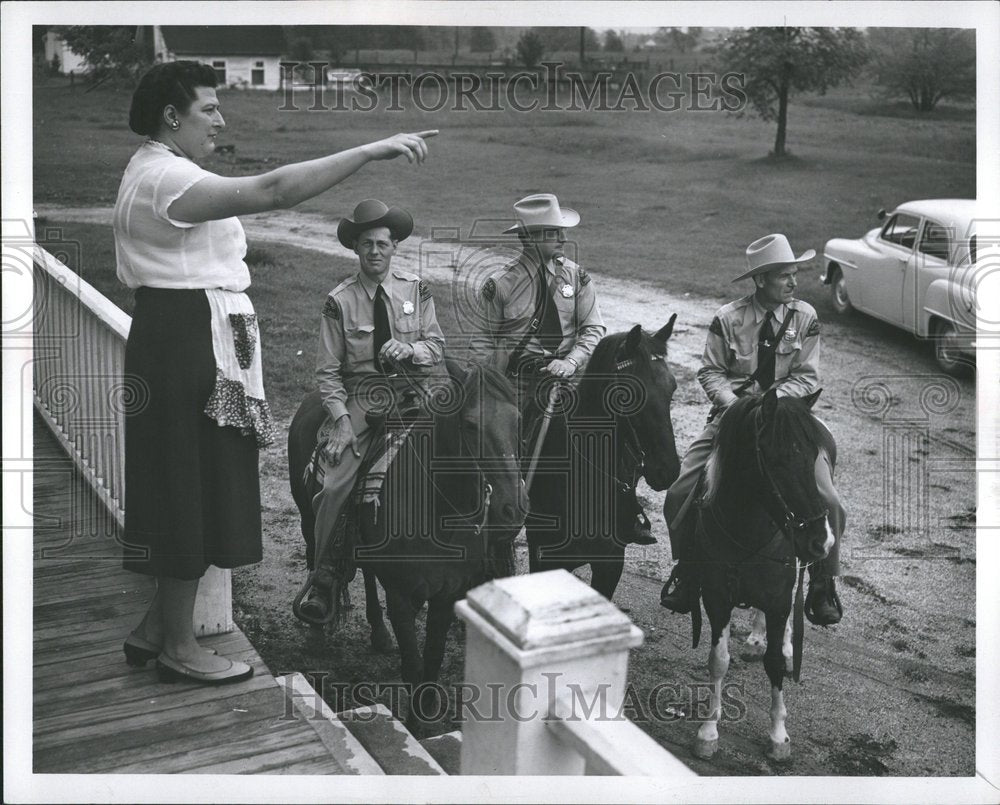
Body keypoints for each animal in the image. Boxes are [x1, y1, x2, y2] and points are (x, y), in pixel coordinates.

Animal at [288, 362, 528, 724]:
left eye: (517, 420)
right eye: (470, 424)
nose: (512, 508)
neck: (432, 508)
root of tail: (311, 399)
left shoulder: (446, 594)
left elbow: (433, 660)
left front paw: (426, 715)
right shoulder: (401, 596)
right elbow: (413, 666)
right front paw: (415, 723)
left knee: (367, 574)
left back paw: (379, 633)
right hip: (307, 517)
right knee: (315, 553)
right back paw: (317, 617)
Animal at [680, 390, 836, 768]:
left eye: (814, 459)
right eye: (777, 461)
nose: (821, 541)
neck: (747, 529)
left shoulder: (779, 600)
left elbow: (776, 663)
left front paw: (779, 737)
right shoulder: (716, 598)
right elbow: (718, 661)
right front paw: (708, 732)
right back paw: (754, 638)